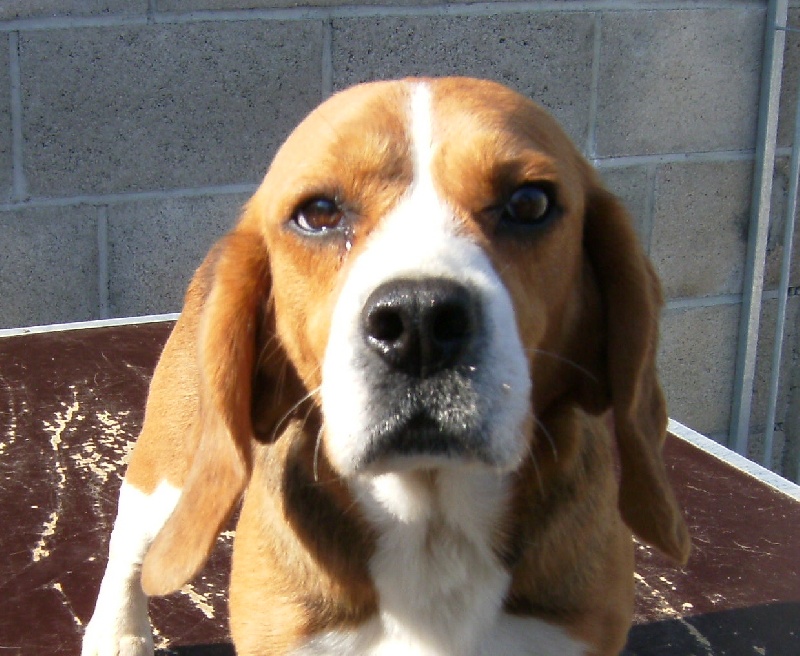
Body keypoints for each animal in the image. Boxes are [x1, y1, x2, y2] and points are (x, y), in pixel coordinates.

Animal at [84, 78, 692, 656]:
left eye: (529, 204)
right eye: (319, 213)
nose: (419, 322)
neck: (434, 524)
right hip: (168, 475)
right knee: (127, 547)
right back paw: (117, 632)